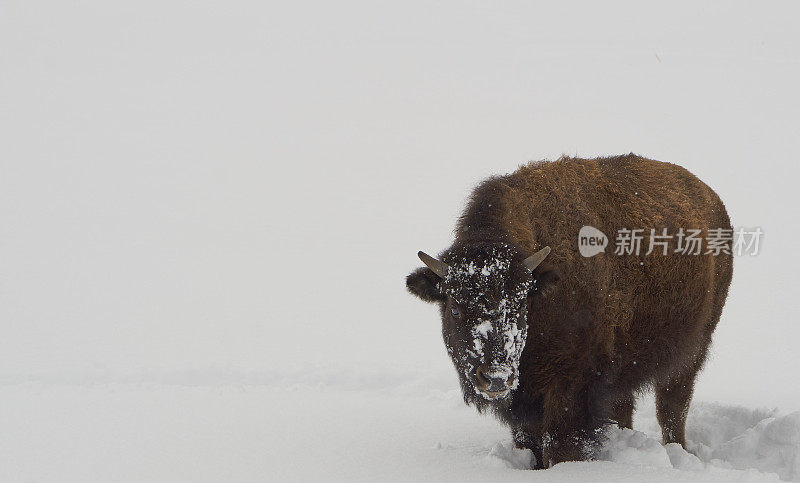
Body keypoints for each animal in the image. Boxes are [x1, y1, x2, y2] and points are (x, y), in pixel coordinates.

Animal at [410, 154, 736, 468]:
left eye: (521, 304)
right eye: (454, 309)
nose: (496, 377)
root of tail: (712, 199)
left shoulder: (570, 384)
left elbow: (560, 443)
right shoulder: (526, 399)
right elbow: (530, 442)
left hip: (693, 349)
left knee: (672, 405)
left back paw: (677, 450)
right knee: (627, 407)